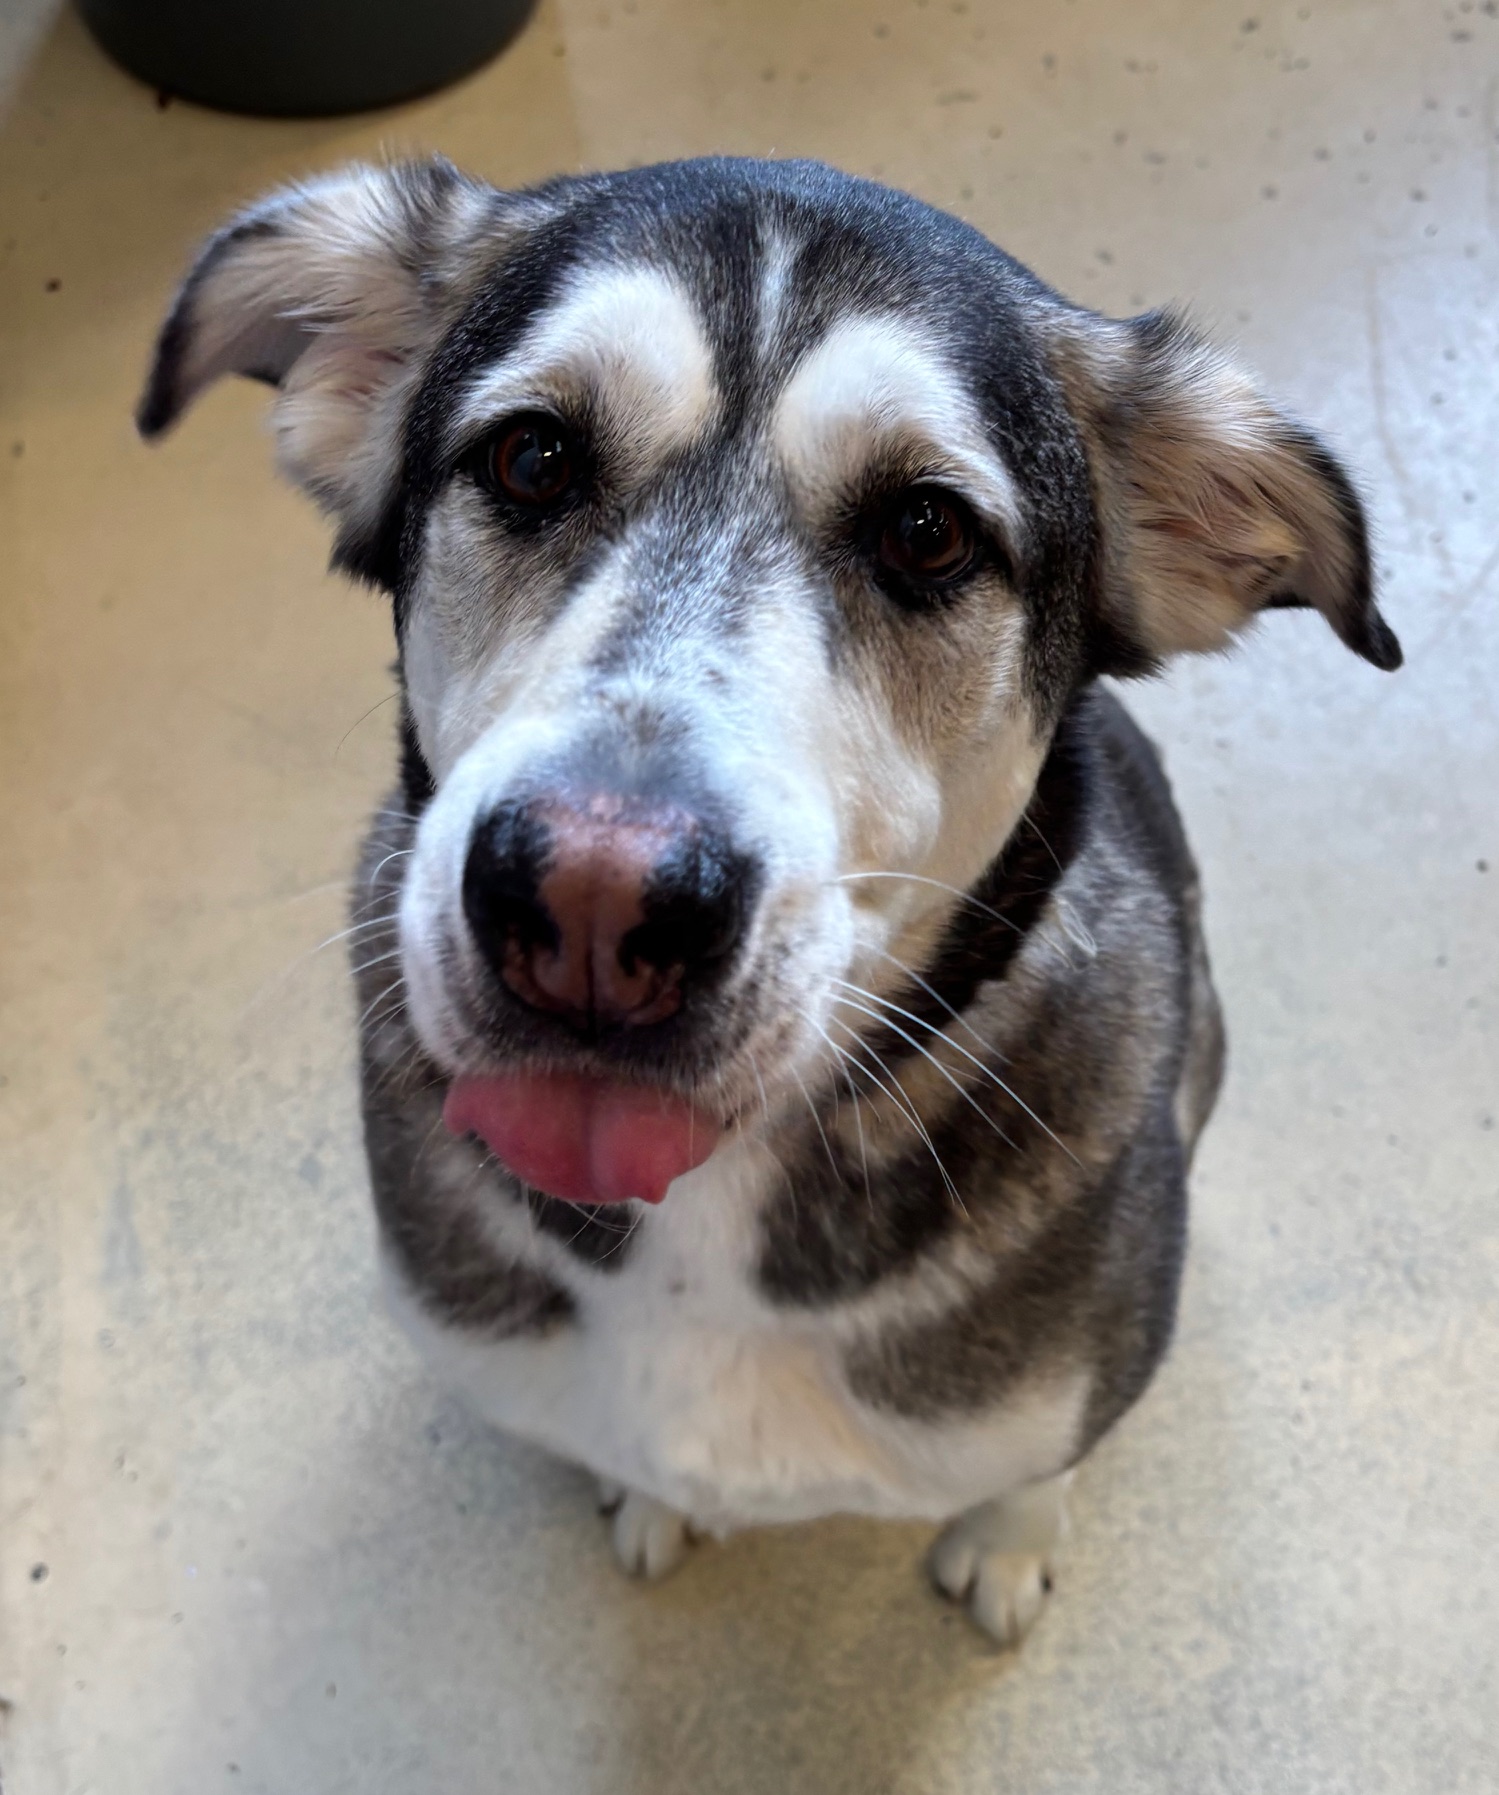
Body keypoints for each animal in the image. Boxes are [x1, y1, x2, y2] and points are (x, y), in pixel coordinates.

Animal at [139, 155, 1400, 1645]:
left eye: (926, 530)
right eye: (529, 457)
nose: (592, 900)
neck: (709, 1201)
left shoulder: (1068, 1374)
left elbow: (1036, 1456)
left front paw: (1006, 1540)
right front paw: (649, 1498)